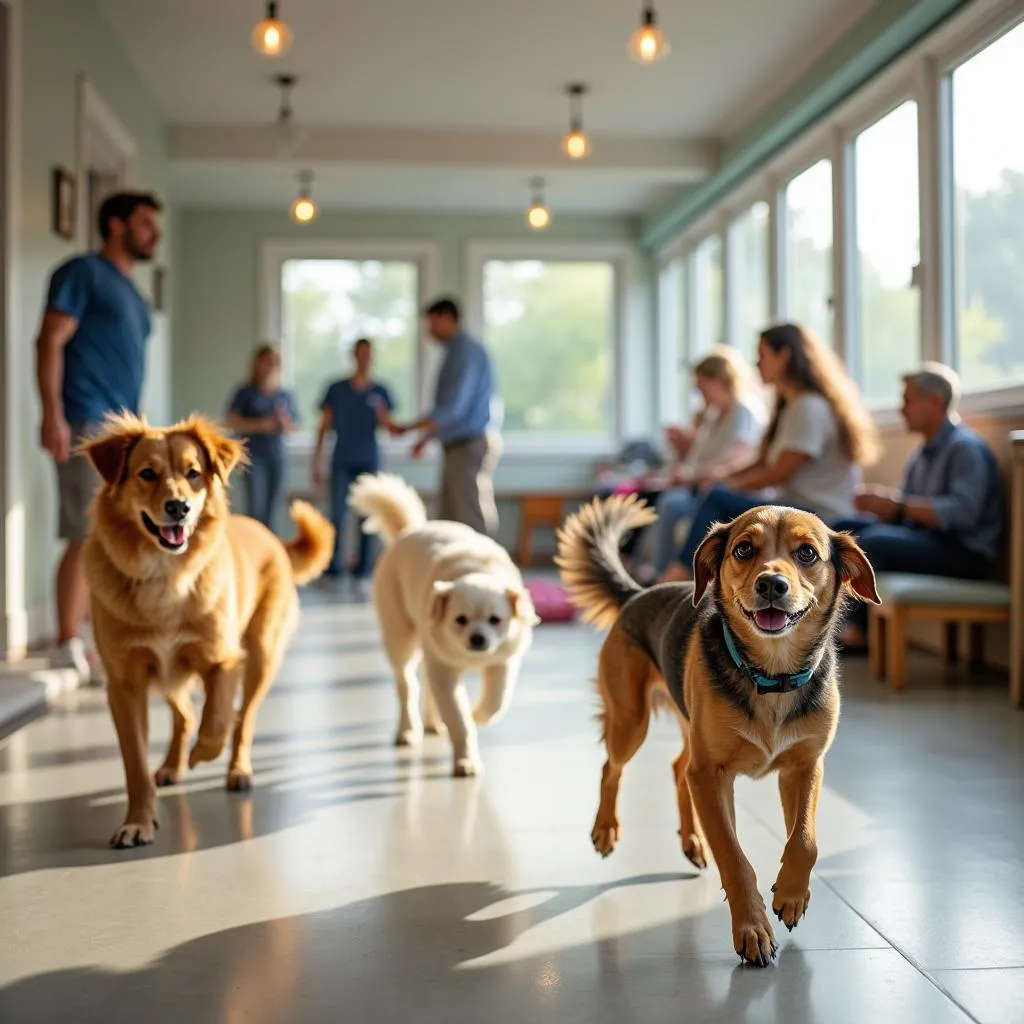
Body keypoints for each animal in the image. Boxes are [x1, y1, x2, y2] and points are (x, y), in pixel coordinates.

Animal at [81, 411, 335, 851]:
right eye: (147, 473)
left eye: (194, 473)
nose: (179, 507)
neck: (165, 575)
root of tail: (270, 535)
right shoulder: (126, 683)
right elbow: (135, 764)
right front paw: (138, 821)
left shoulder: (223, 659)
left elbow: (218, 720)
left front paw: (204, 752)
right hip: (168, 673)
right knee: (184, 715)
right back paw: (171, 767)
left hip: (260, 656)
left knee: (244, 718)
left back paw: (237, 769)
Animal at [350, 471, 540, 774]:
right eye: (460, 619)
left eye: (495, 620)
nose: (478, 639)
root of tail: (408, 533)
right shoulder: (445, 673)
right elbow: (459, 721)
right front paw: (466, 760)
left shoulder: (503, 663)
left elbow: (496, 701)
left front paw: (478, 714)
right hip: (401, 639)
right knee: (407, 685)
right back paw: (408, 730)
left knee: (426, 684)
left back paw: (432, 723)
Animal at [561, 495, 880, 966]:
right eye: (744, 549)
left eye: (807, 553)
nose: (771, 585)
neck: (772, 674)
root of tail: (638, 594)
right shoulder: (711, 774)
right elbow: (734, 855)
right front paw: (752, 929)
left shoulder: (805, 766)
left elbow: (805, 840)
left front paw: (791, 895)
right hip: (630, 721)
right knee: (611, 767)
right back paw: (606, 829)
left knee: (678, 769)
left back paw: (693, 841)